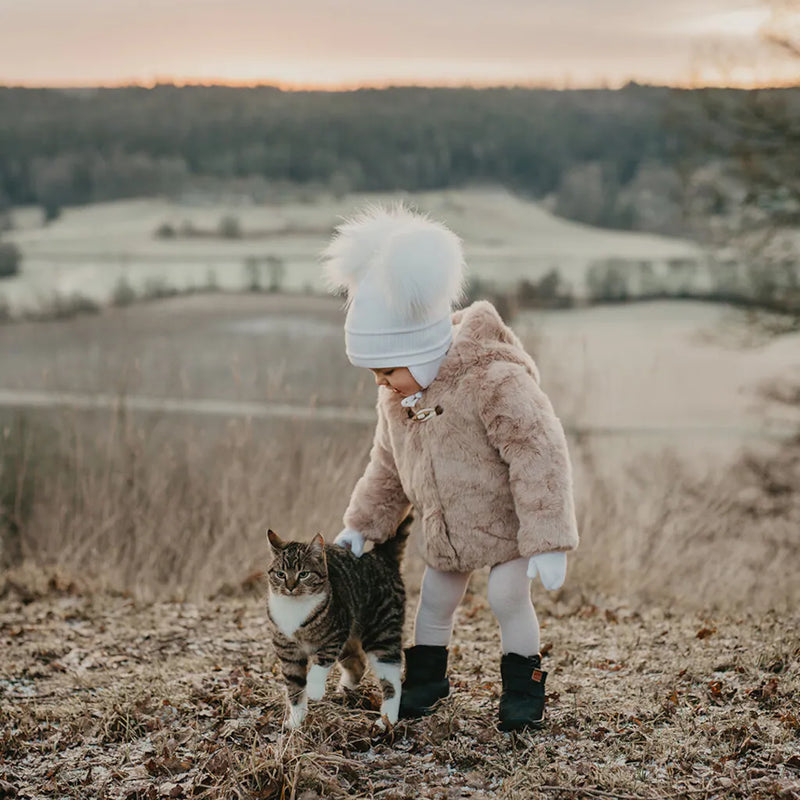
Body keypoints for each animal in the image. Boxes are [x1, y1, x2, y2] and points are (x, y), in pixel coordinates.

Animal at [268, 516, 410, 728]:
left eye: (303, 574)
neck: (295, 608)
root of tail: (380, 556)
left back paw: (387, 719)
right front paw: (295, 721)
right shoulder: (288, 652)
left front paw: (315, 689)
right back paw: (344, 692)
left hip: (382, 632)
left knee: (392, 678)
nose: (290, 587)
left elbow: (321, 662)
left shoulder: (336, 634)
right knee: (358, 663)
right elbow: (294, 688)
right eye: (280, 574)